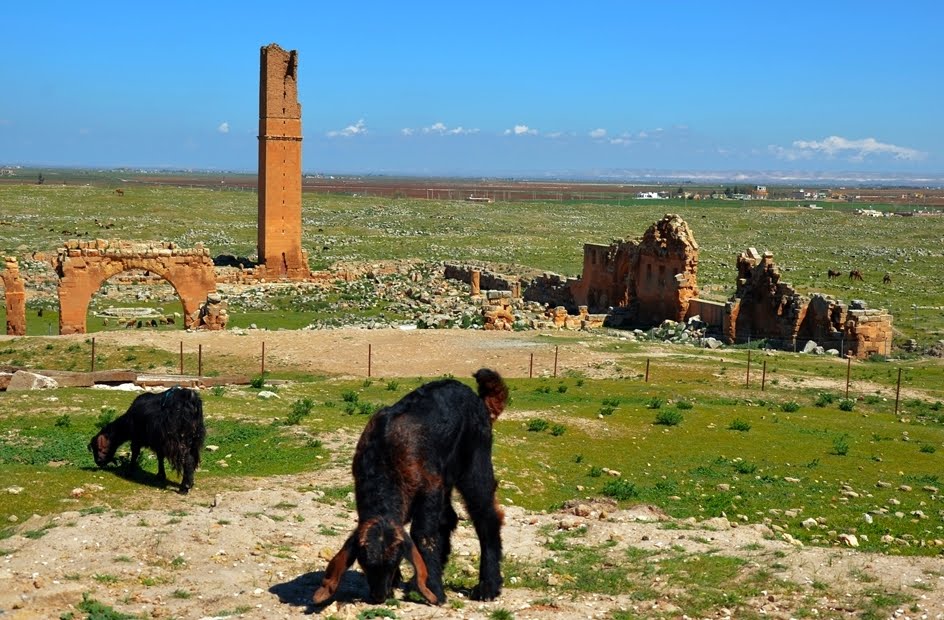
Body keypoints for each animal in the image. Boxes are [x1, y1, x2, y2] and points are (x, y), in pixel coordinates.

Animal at [316, 368, 508, 604]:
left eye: (395, 561)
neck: (384, 462)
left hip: (475, 465)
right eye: (364, 563)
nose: (379, 596)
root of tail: (479, 400)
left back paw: (488, 586)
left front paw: (433, 588)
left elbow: (423, 535)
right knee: (449, 518)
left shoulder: (429, 489)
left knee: (485, 517)